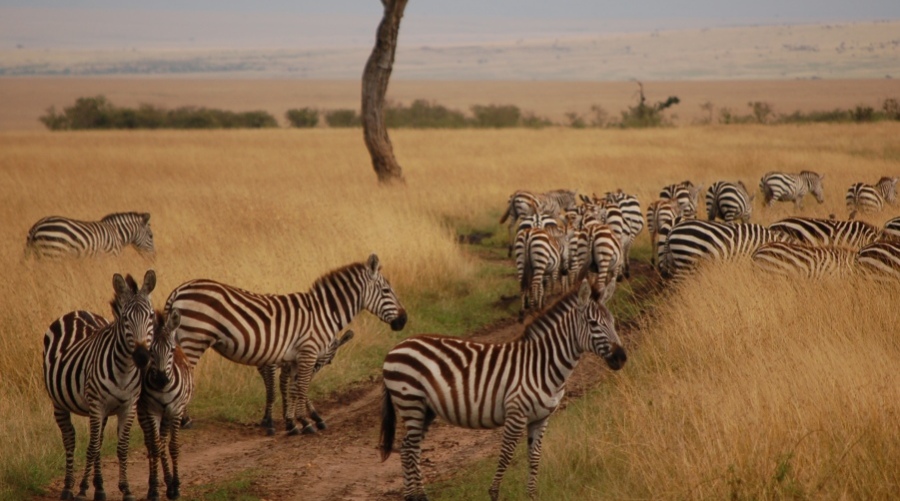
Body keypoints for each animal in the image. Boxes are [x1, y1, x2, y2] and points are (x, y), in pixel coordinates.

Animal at [25, 212, 155, 259]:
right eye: (151, 236)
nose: (154, 258)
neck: (117, 234)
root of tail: (38, 225)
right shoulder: (110, 256)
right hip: (54, 252)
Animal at [42, 270, 156, 501]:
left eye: (150, 316)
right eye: (125, 318)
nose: (142, 357)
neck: (124, 370)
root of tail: (76, 311)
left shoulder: (128, 406)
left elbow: (121, 447)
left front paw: (126, 490)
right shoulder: (97, 405)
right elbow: (92, 447)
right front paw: (82, 490)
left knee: (99, 439)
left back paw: (100, 488)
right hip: (59, 402)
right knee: (70, 438)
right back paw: (68, 488)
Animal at [138, 308, 194, 501]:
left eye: (171, 350)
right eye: (151, 351)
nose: (162, 380)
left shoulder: (176, 411)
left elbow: (173, 447)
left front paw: (176, 487)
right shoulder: (151, 411)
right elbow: (155, 447)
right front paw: (154, 490)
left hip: (167, 415)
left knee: (163, 442)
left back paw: (169, 483)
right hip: (144, 413)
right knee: (152, 443)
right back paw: (156, 484)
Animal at [165, 254, 407, 436]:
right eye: (387, 291)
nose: (404, 320)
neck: (324, 312)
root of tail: (178, 290)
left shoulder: (294, 357)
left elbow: (291, 388)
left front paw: (292, 423)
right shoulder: (308, 352)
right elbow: (301, 386)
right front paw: (305, 423)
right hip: (194, 338)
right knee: (183, 375)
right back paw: (184, 420)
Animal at [380, 280, 626, 501]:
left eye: (612, 321)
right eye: (593, 323)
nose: (621, 357)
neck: (542, 364)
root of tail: (397, 346)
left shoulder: (541, 419)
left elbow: (534, 457)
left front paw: (531, 495)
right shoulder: (516, 414)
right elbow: (507, 454)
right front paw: (494, 493)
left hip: (425, 409)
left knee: (408, 448)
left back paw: (416, 496)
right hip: (411, 401)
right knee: (410, 449)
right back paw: (415, 496)